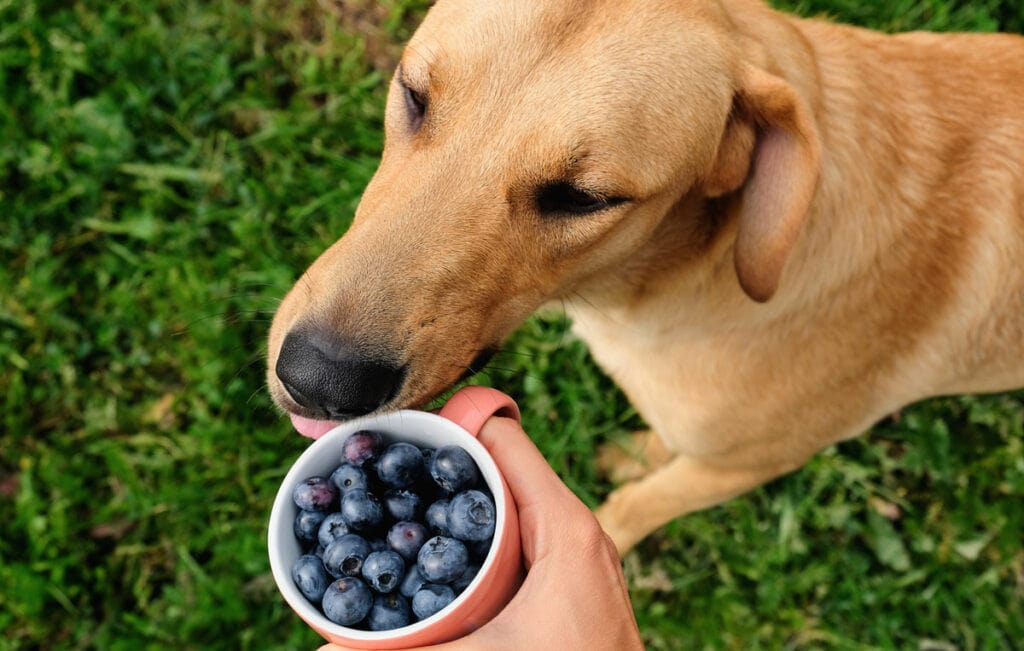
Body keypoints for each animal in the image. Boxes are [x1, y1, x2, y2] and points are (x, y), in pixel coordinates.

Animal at [266, 0, 1024, 552]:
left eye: (584, 198)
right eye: (413, 94)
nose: (318, 379)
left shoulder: (743, 465)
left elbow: (634, 506)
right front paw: (639, 451)